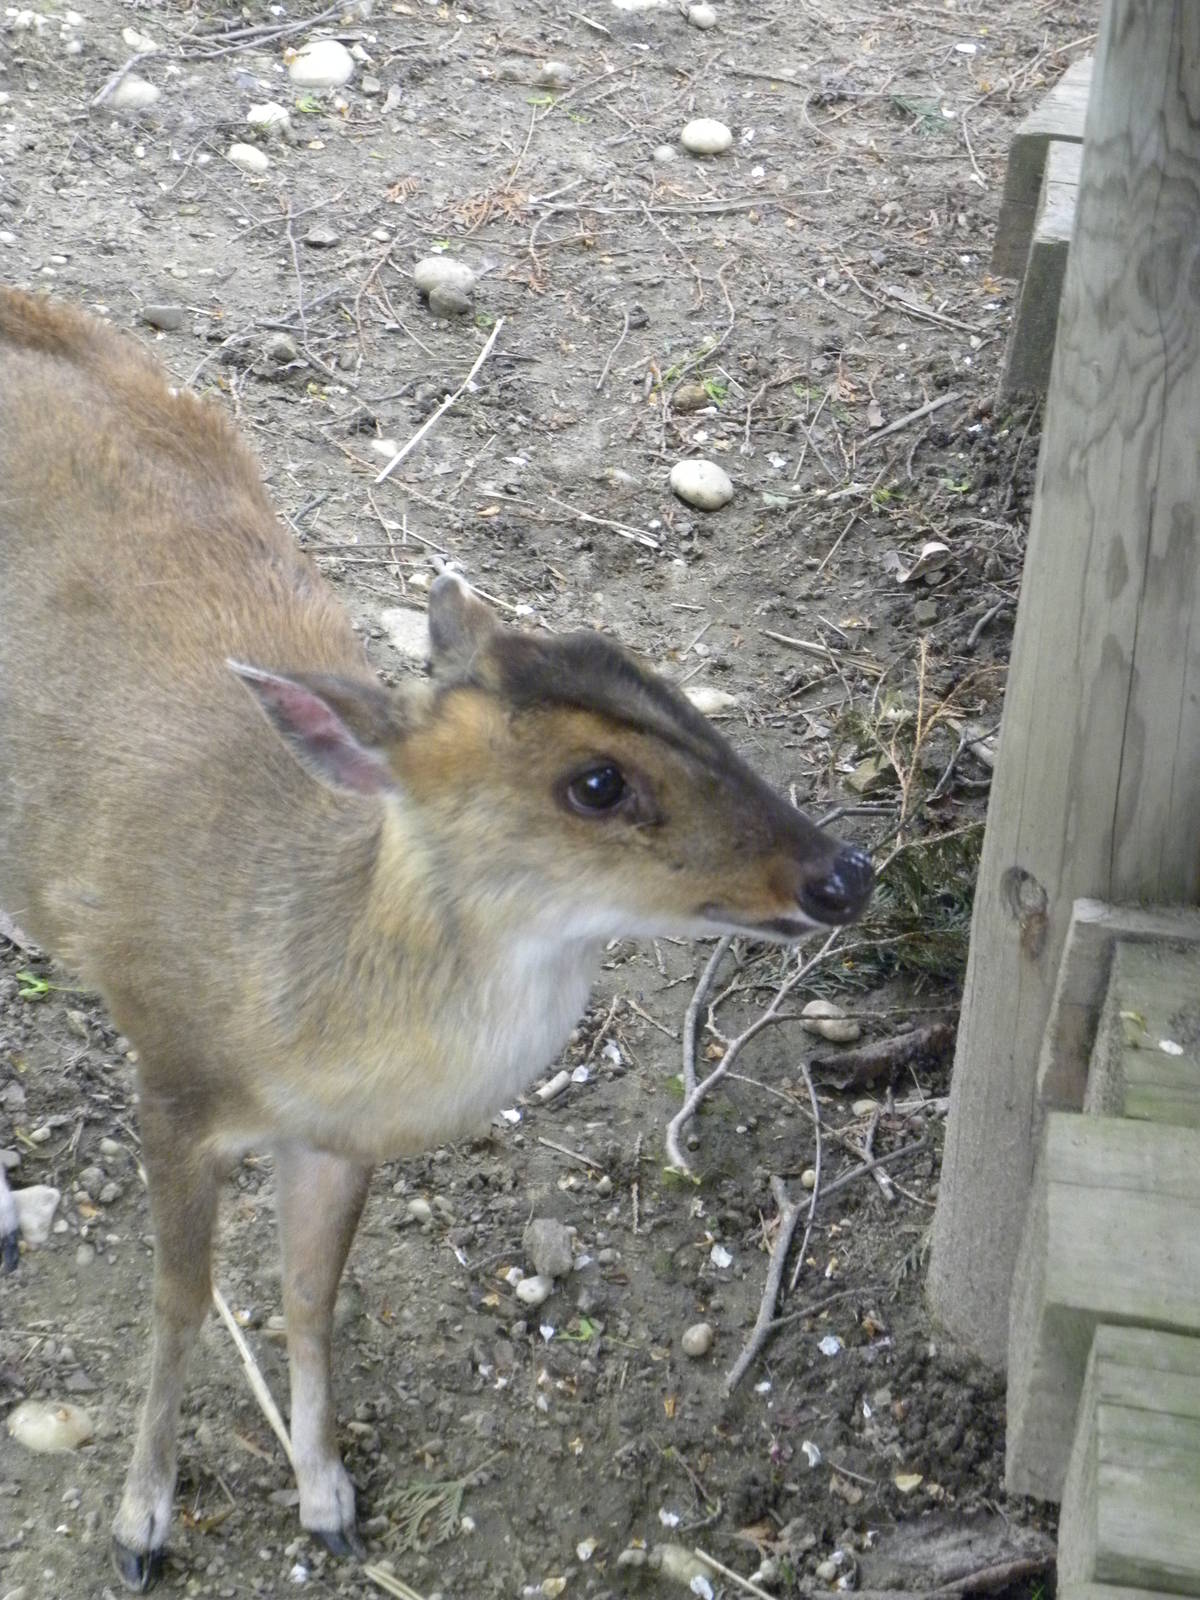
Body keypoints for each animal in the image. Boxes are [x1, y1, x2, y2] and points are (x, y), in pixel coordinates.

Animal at [0, 288, 873, 1590]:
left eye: (665, 686)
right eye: (597, 781)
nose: (844, 874)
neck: (295, 998)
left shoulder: (336, 1139)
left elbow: (309, 1296)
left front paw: (326, 1496)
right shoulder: (170, 1071)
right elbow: (180, 1299)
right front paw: (140, 1520)